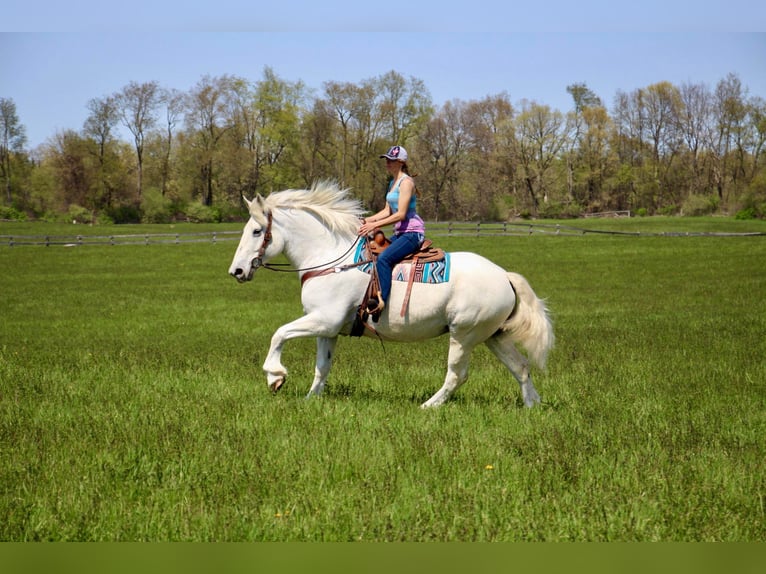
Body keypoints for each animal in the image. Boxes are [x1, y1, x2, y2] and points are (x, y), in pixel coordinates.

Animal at [230, 182, 560, 408]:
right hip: (494, 336)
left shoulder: (323, 320)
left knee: (457, 375)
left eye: (257, 231)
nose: (236, 271)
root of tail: (504, 276)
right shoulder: (329, 329)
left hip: (464, 335)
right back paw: (532, 405)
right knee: (521, 367)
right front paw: (311, 399)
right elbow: (322, 367)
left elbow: (279, 333)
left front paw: (275, 376)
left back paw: (428, 405)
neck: (331, 259)